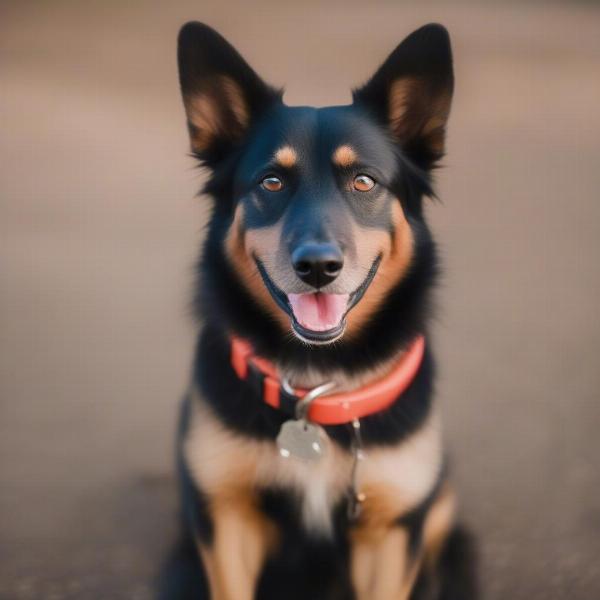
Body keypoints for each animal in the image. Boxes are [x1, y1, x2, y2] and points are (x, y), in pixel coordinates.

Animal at [159, 21, 478, 596]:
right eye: (271, 182)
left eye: (364, 181)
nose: (317, 267)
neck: (316, 383)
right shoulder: (227, 518)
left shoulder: (391, 533)